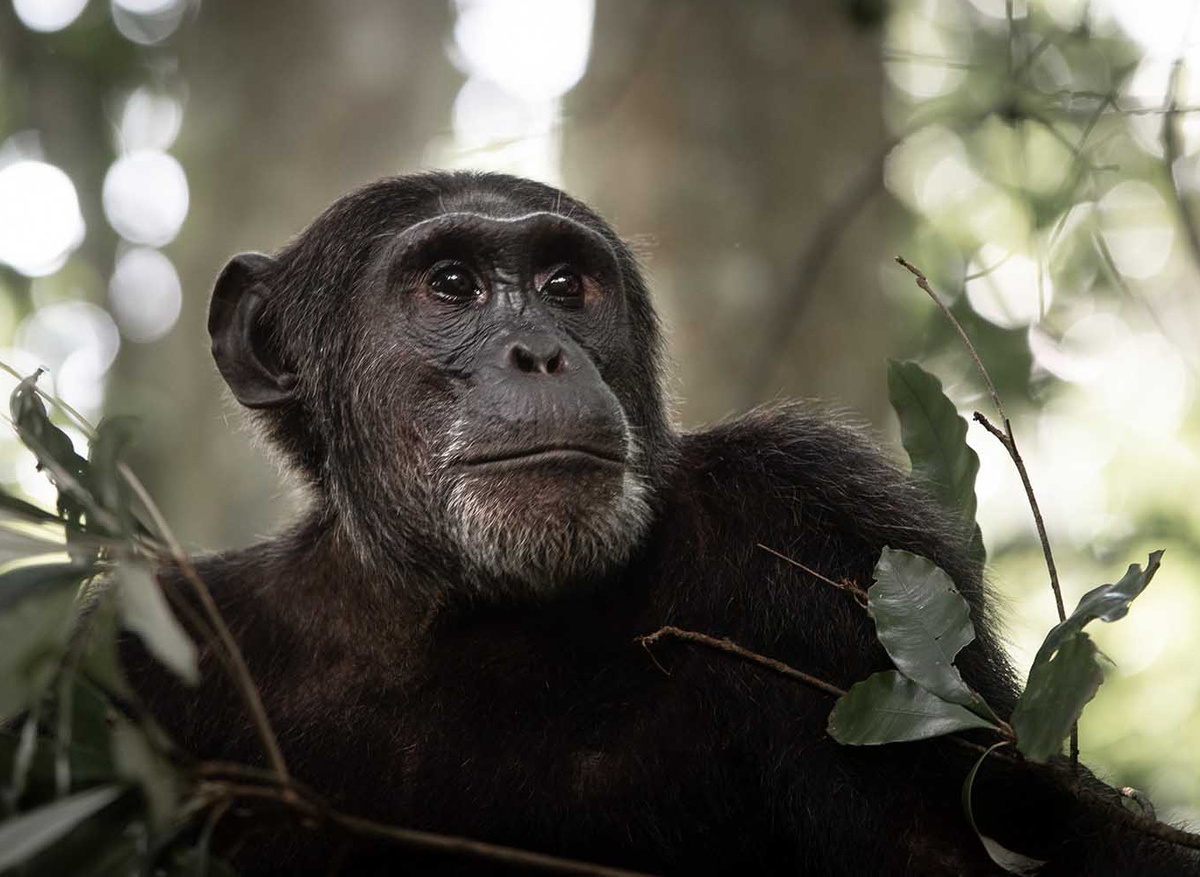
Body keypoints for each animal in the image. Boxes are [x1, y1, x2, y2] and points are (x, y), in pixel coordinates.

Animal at [123, 171, 1200, 875]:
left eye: (565, 286)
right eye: (452, 284)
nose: (542, 352)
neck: (458, 606)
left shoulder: (819, 531)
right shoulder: (166, 650)